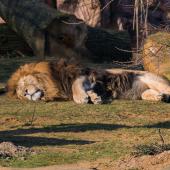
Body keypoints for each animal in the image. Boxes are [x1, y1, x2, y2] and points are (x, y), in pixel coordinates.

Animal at [6, 59, 170, 103]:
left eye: (25, 83)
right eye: (20, 94)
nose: (26, 93)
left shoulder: (83, 75)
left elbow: (74, 86)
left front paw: (82, 98)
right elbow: (90, 91)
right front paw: (94, 97)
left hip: (151, 79)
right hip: (143, 91)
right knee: (147, 94)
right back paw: (159, 97)